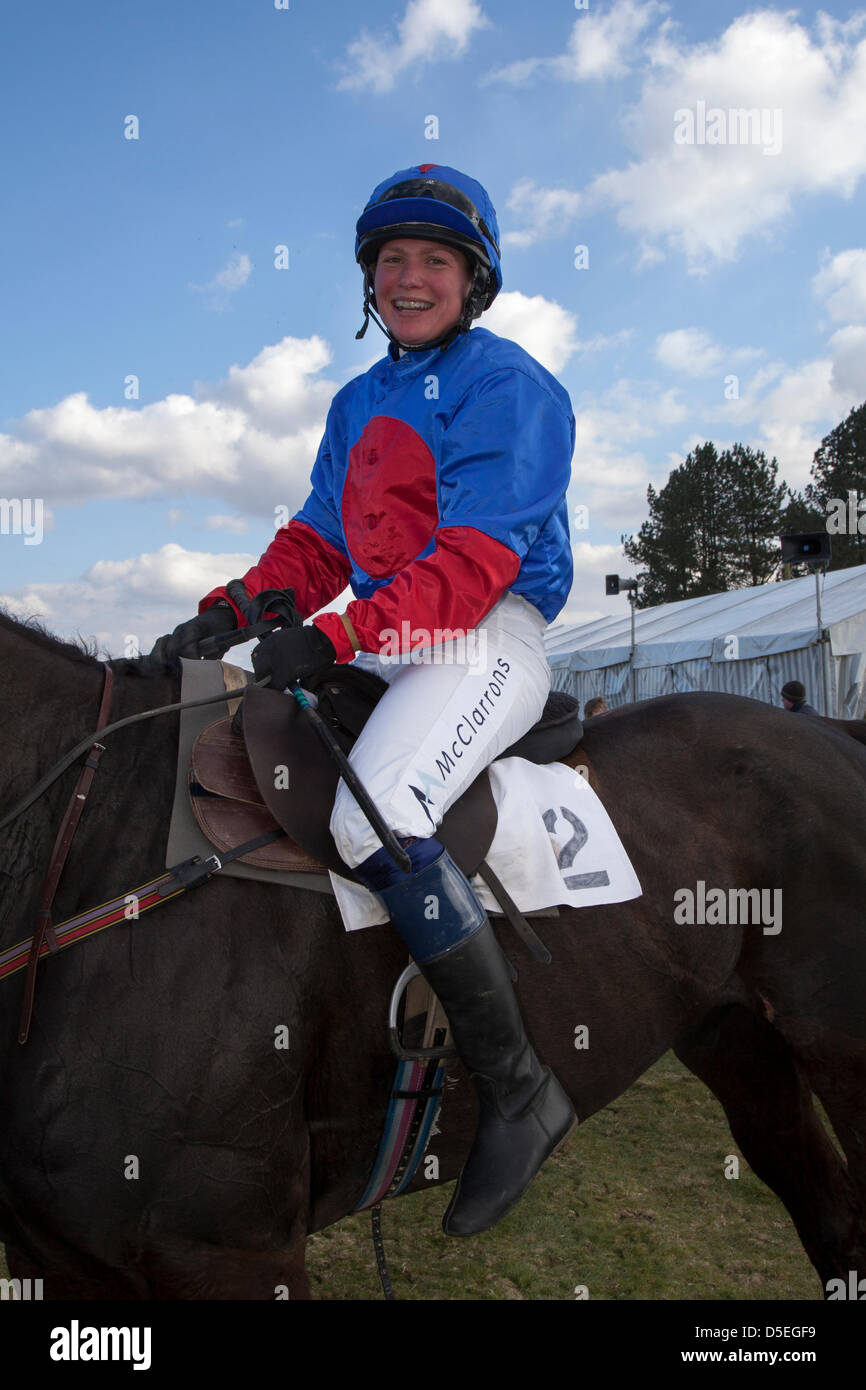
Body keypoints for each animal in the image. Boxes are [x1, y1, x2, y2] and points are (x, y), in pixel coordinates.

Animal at [0, 614, 861, 1295]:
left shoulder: (229, 1252)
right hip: (735, 1038)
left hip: (835, 1044)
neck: (95, 834)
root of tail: (829, 731)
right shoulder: (56, 1257)